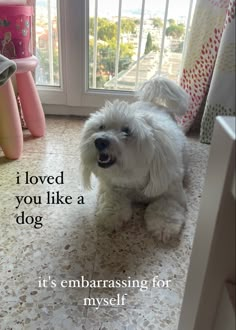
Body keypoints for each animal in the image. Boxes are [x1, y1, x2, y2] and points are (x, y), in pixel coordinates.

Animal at [79, 76, 190, 242]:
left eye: (127, 131)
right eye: (101, 127)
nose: (100, 141)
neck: (134, 179)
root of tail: (152, 102)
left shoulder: (172, 192)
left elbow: (165, 207)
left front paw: (164, 226)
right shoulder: (112, 187)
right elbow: (113, 199)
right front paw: (110, 215)